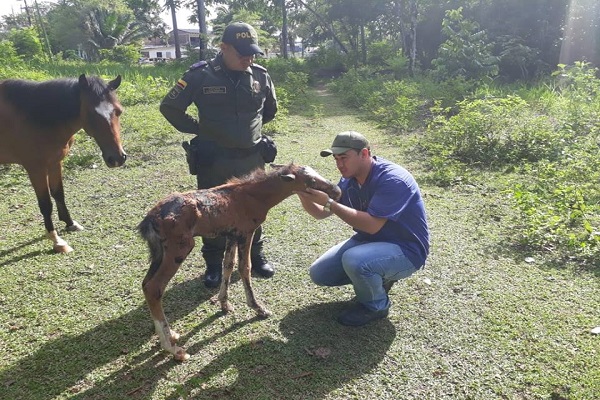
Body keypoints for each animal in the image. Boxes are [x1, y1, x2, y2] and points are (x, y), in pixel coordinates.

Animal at [0, 75, 126, 253]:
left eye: (118, 111)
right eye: (92, 114)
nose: (117, 158)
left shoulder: (55, 162)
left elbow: (59, 193)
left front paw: (70, 223)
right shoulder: (36, 169)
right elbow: (45, 204)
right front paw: (56, 241)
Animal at [138, 163, 340, 362]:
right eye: (311, 181)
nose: (336, 191)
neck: (254, 196)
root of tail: (150, 219)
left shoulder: (232, 235)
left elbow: (228, 265)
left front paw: (224, 304)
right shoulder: (246, 232)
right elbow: (245, 267)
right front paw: (258, 308)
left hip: (159, 253)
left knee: (146, 283)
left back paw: (171, 334)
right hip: (179, 248)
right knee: (154, 287)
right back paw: (174, 349)